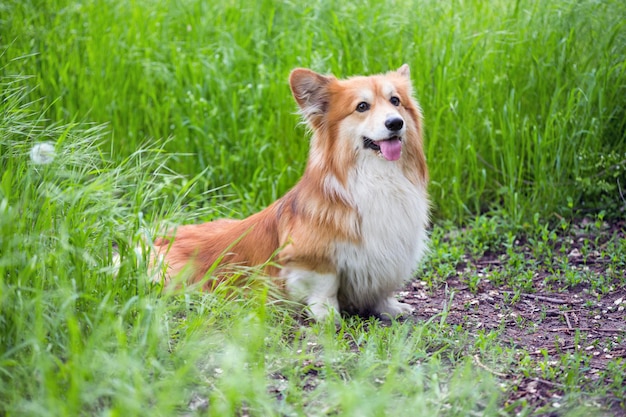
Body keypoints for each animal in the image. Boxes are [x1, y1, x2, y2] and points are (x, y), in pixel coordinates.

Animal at [150, 64, 428, 318]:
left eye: (395, 101)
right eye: (362, 107)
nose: (395, 123)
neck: (378, 177)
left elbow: (383, 288)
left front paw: (391, 308)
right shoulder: (311, 258)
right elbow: (325, 286)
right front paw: (328, 316)